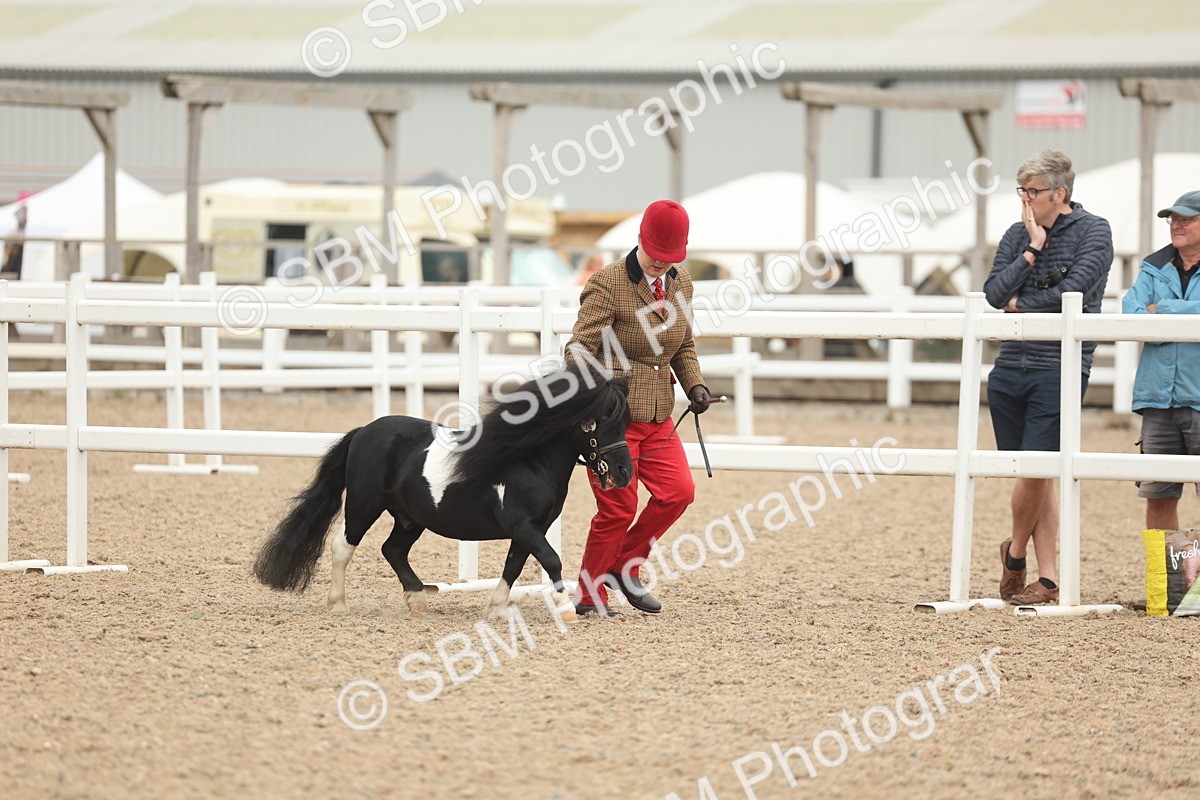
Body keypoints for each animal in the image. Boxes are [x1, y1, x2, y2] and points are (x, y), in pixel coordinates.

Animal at [252, 366, 633, 623]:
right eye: (600, 421)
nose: (624, 473)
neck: (528, 460)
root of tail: (363, 432)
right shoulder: (524, 526)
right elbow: (551, 560)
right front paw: (566, 609)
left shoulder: (530, 530)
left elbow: (513, 566)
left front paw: (495, 609)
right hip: (363, 506)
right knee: (343, 547)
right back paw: (338, 604)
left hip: (409, 518)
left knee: (392, 549)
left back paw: (417, 599)